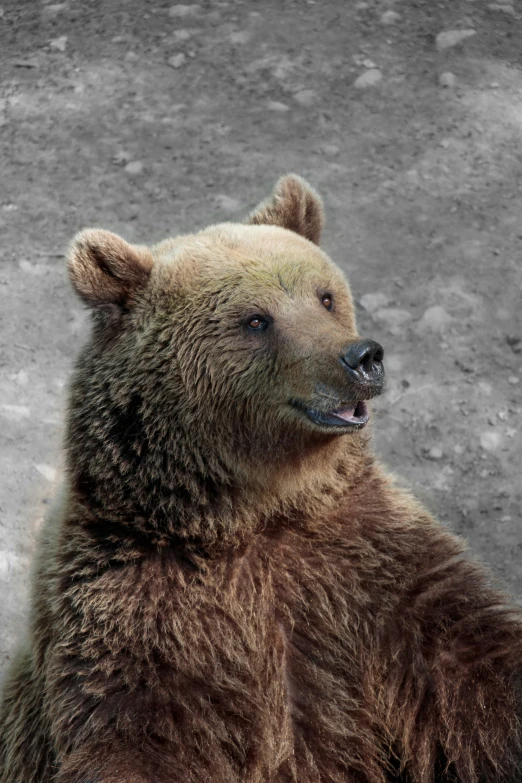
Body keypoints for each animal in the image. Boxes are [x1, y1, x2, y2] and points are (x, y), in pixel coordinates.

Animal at [1, 178, 520, 783]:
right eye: (255, 320)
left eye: (325, 296)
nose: (362, 357)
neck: (256, 510)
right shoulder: (135, 610)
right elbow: (135, 738)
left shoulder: (374, 570)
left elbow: (473, 660)